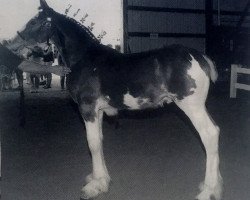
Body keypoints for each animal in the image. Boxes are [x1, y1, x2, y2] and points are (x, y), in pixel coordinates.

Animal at [19, 0, 223, 199]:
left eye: (35, 21)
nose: (19, 37)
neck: (85, 58)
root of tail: (199, 57)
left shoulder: (88, 108)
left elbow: (92, 143)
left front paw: (94, 186)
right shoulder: (98, 111)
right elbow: (99, 141)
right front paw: (102, 179)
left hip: (191, 106)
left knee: (209, 134)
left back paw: (208, 191)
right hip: (199, 106)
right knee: (215, 131)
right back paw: (214, 184)